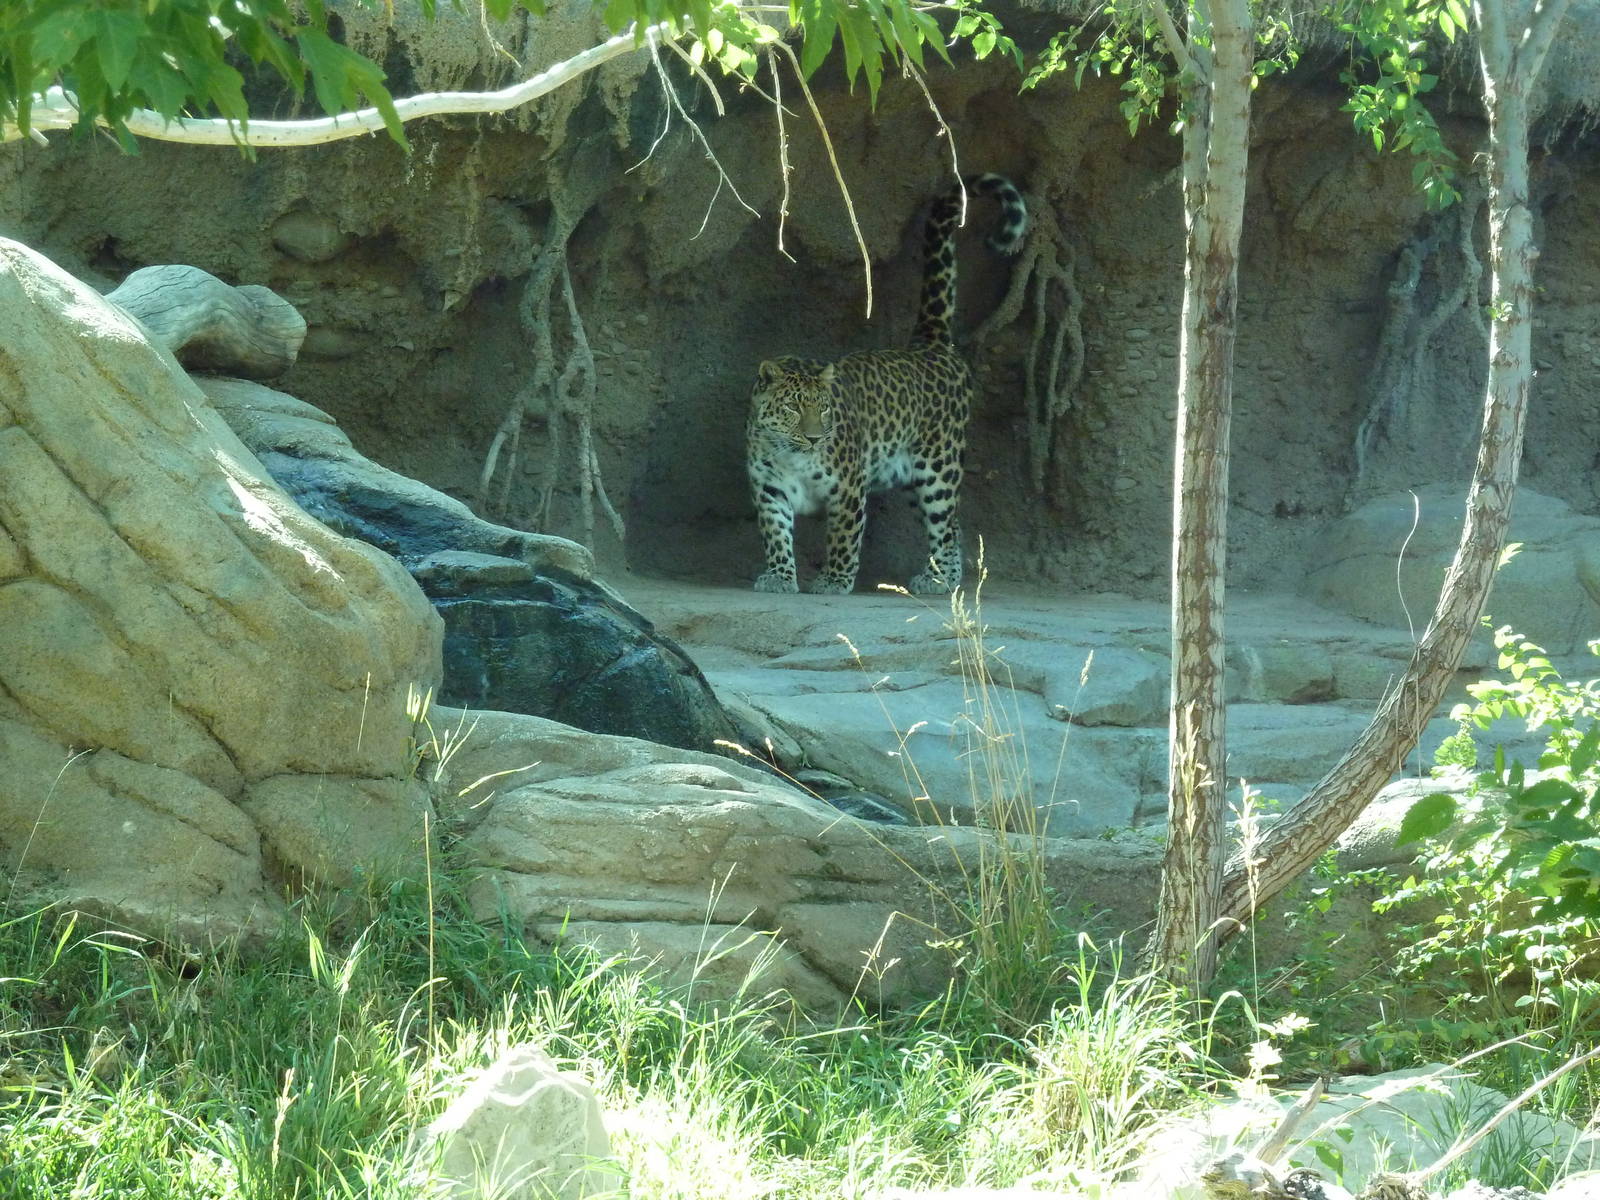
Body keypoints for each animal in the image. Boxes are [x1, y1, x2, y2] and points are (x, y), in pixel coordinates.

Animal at [745, 173, 1027, 596]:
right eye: (793, 407)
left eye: (823, 408)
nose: (814, 438)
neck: (790, 454)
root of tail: (929, 343)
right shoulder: (770, 490)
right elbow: (775, 535)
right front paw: (779, 576)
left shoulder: (848, 488)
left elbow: (843, 538)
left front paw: (834, 581)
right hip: (912, 476)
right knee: (954, 526)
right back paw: (945, 575)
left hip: (938, 467)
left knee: (945, 524)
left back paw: (940, 580)